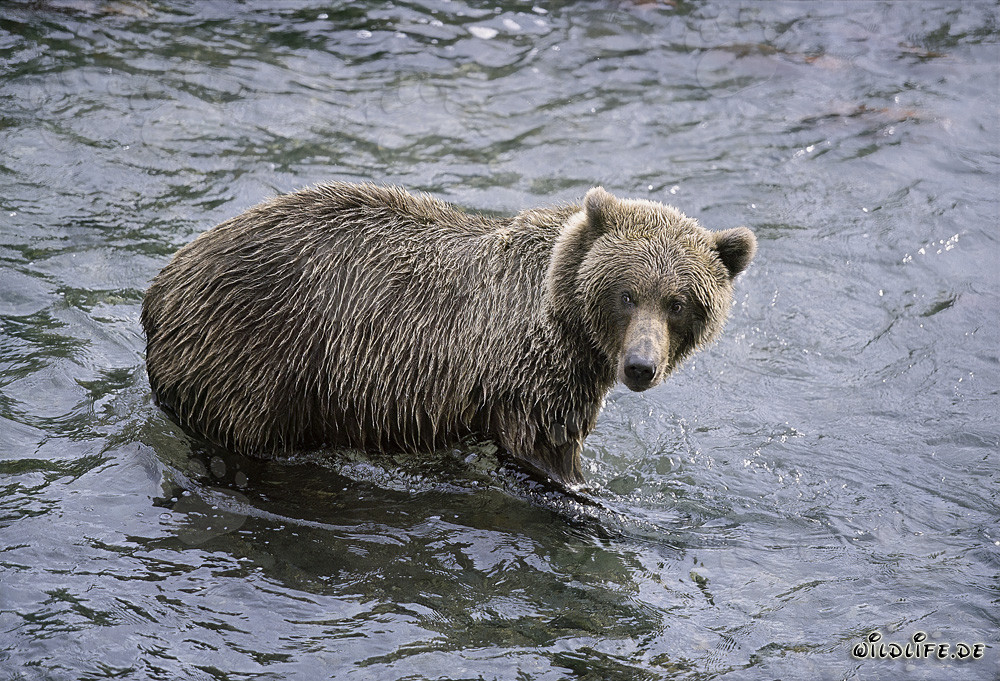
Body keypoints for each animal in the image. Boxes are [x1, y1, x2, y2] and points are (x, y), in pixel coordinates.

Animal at [141, 183, 755, 487]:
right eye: (627, 293)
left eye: (678, 303)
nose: (640, 367)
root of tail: (162, 283)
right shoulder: (532, 377)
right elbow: (544, 452)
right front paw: (589, 496)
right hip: (252, 356)